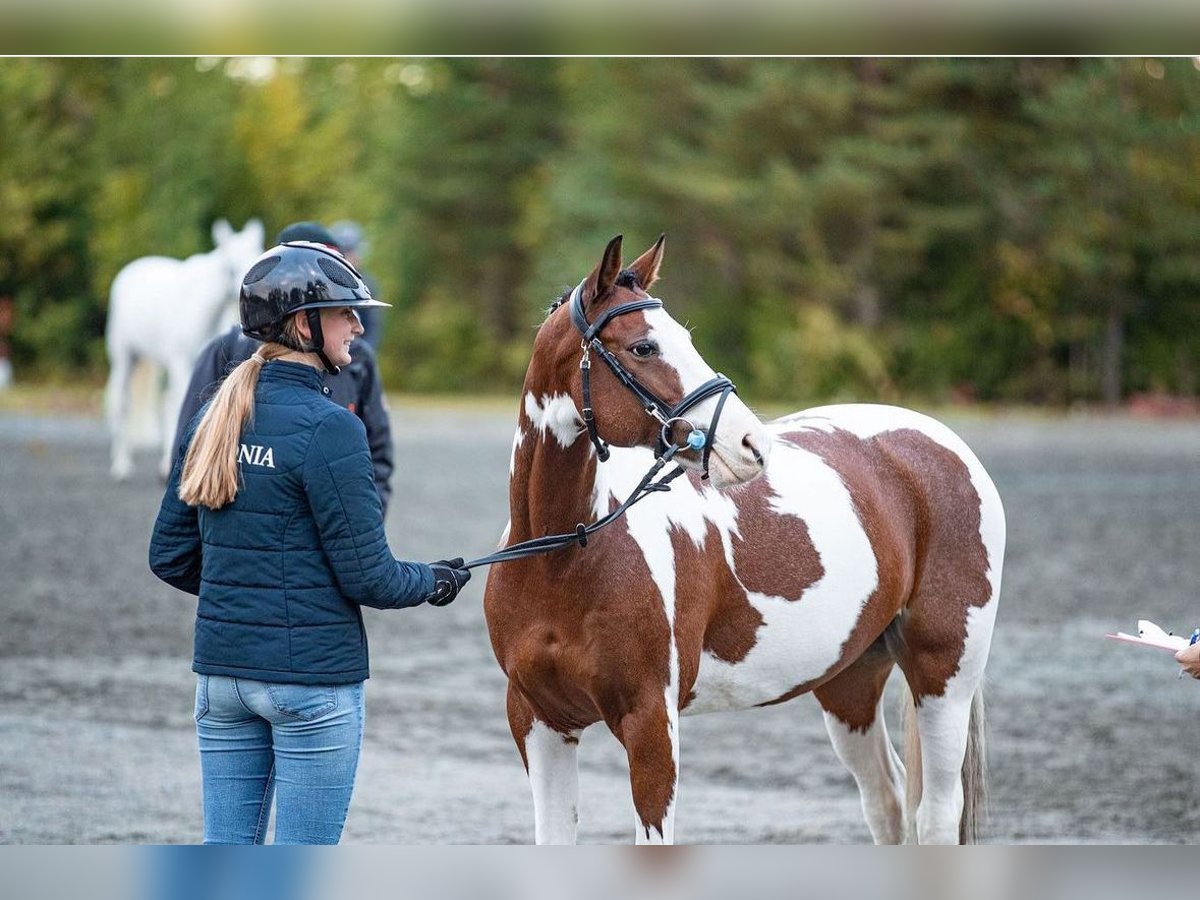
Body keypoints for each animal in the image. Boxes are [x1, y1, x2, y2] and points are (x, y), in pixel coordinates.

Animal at [103, 217, 265, 480]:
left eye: (258, 254)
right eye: (230, 267)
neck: (204, 308)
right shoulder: (181, 362)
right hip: (125, 359)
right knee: (122, 402)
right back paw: (121, 465)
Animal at [482, 234, 1008, 844]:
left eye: (686, 339)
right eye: (643, 348)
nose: (751, 443)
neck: (563, 562)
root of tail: (939, 441)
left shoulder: (650, 724)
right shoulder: (540, 722)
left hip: (945, 674)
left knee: (936, 813)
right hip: (850, 679)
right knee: (888, 802)